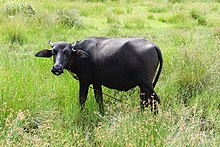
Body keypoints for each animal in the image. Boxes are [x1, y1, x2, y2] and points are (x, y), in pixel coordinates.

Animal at [35, 36, 163, 115]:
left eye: (67, 52)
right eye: (53, 52)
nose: (57, 68)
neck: (80, 55)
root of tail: (152, 45)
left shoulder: (84, 81)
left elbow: (82, 99)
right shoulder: (97, 82)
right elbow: (99, 99)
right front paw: (102, 114)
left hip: (146, 84)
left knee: (155, 100)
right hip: (143, 86)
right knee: (144, 100)